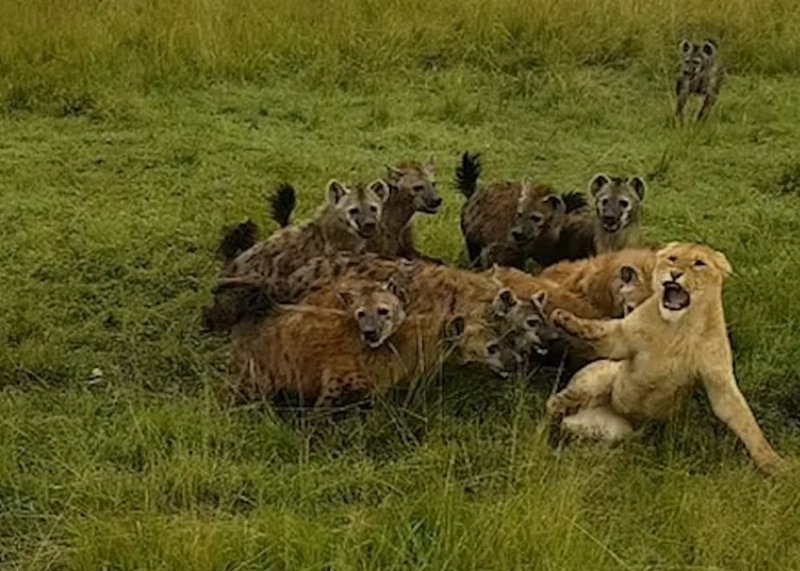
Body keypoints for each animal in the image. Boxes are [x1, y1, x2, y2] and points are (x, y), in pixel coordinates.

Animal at [548, 241, 784, 474]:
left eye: (699, 263)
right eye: (672, 258)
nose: (675, 274)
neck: (678, 326)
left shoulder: (719, 379)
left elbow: (743, 419)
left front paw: (774, 463)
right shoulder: (621, 339)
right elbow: (598, 330)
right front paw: (563, 318)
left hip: (613, 430)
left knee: (577, 429)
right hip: (600, 377)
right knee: (556, 404)